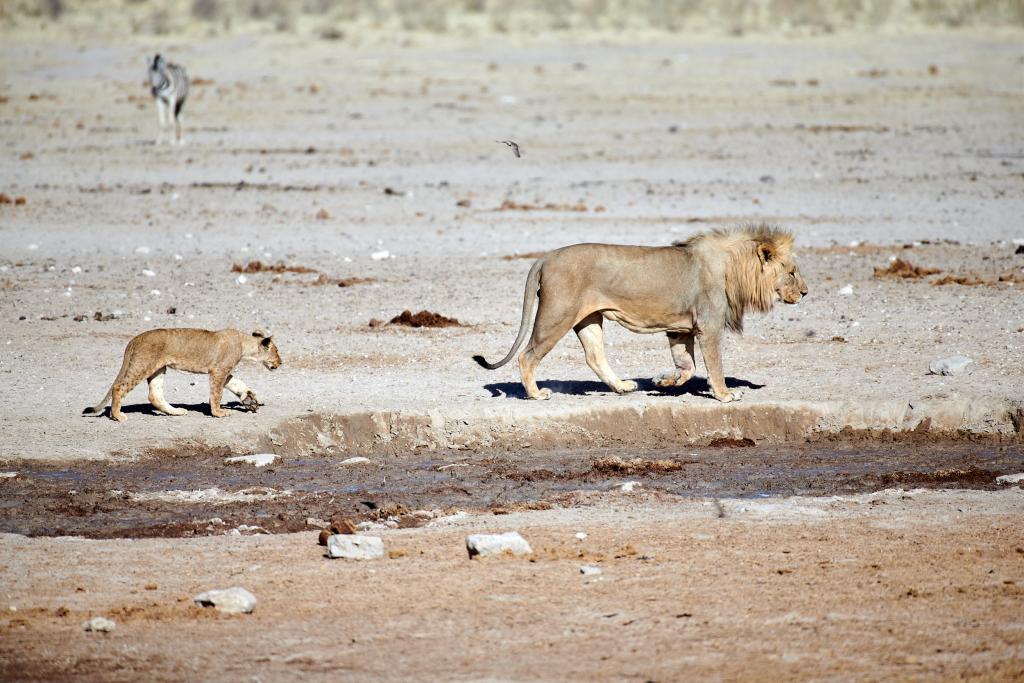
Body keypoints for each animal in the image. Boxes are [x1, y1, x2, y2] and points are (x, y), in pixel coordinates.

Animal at [82, 327, 282, 419]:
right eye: (277, 351)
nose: (281, 363)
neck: (244, 344)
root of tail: (135, 339)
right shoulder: (218, 371)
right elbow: (216, 394)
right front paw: (218, 413)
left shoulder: (223, 371)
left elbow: (236, 383)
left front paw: (249, 396)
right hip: (142, 365)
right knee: (119, 387)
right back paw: (118, 416)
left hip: (158, 368)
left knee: (155, 395)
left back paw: (176, 412)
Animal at [473, 224, 806, 403]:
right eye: (792, 272)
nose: (805, 292)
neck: (734, 268)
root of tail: (544, 257)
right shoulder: (709, 326)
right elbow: (714, 366)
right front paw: (725, 395)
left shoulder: (680, 328)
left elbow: (687, 366)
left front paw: (663, 383)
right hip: (557, 314)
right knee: (527, 356)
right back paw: (536, 393)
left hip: (588, 318)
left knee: (594, 356)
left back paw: (622, 386)